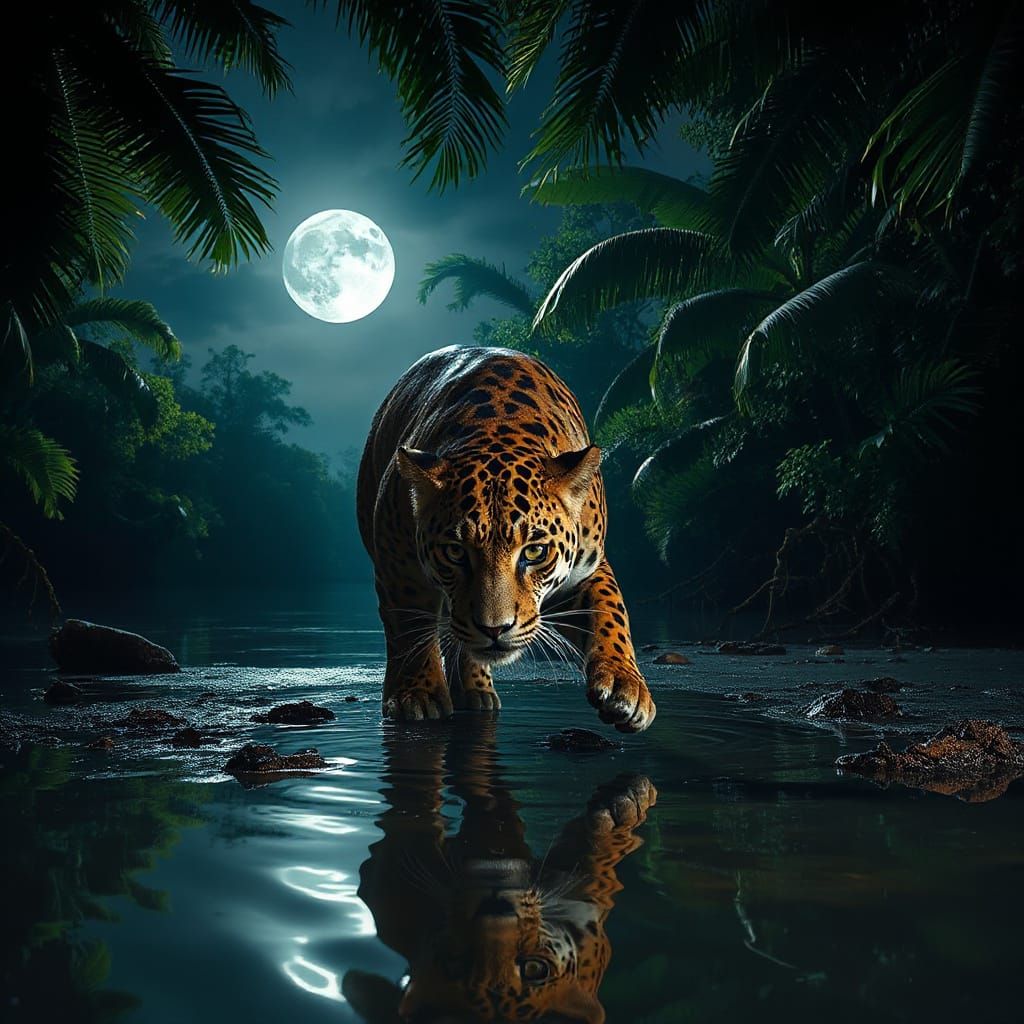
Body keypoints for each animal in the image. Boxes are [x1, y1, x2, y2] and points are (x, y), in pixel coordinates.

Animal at [356, 345, 656, 732]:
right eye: (455, 552)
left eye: (535, 552)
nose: (495, 630)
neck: (498, 430)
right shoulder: (397, 562)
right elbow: (409, 626)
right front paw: (417, 695)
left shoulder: (586, 568)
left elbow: (611, 609)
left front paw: (625, 686)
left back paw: (476, 690)